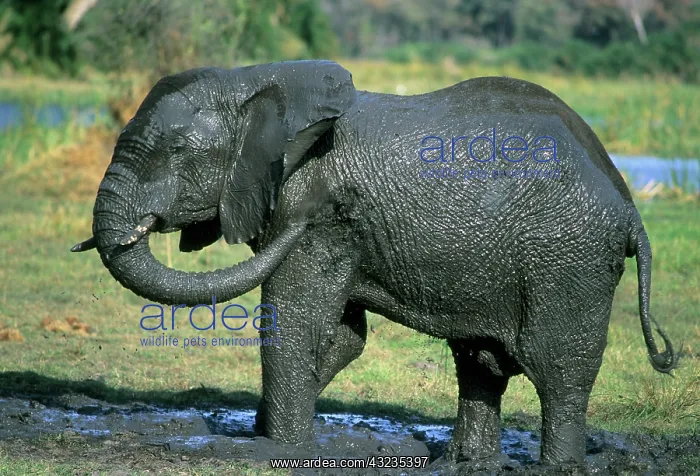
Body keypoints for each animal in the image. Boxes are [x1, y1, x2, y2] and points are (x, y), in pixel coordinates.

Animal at [72, 60, 677, 465]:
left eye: (175, 152)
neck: (260, 82)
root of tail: (628, 204)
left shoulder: (316, 219)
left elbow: (297, 322)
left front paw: (277, 448)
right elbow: (341, 335)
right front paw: (269, 431)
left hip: (568, 260)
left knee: (559, 371)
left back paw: (557, 465)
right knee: (481, 363)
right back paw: (465, 464)